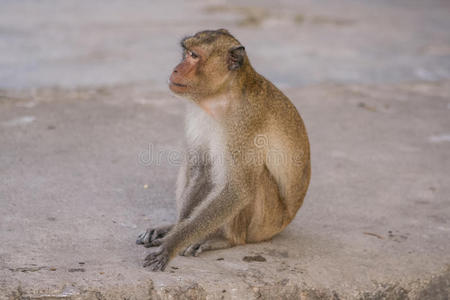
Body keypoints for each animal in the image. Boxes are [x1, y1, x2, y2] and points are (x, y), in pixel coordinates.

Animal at [135, 29, 312, 270]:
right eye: (185, 53)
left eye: (194, 56)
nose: (176, 68)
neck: (221, 97)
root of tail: (286, 220)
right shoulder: (197, 113)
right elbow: (202, 169)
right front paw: (174, 230)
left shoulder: (244, 121)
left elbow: (237, 190)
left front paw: (172, 245)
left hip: (265, 224)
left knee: (252, 178)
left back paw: (225, 239)